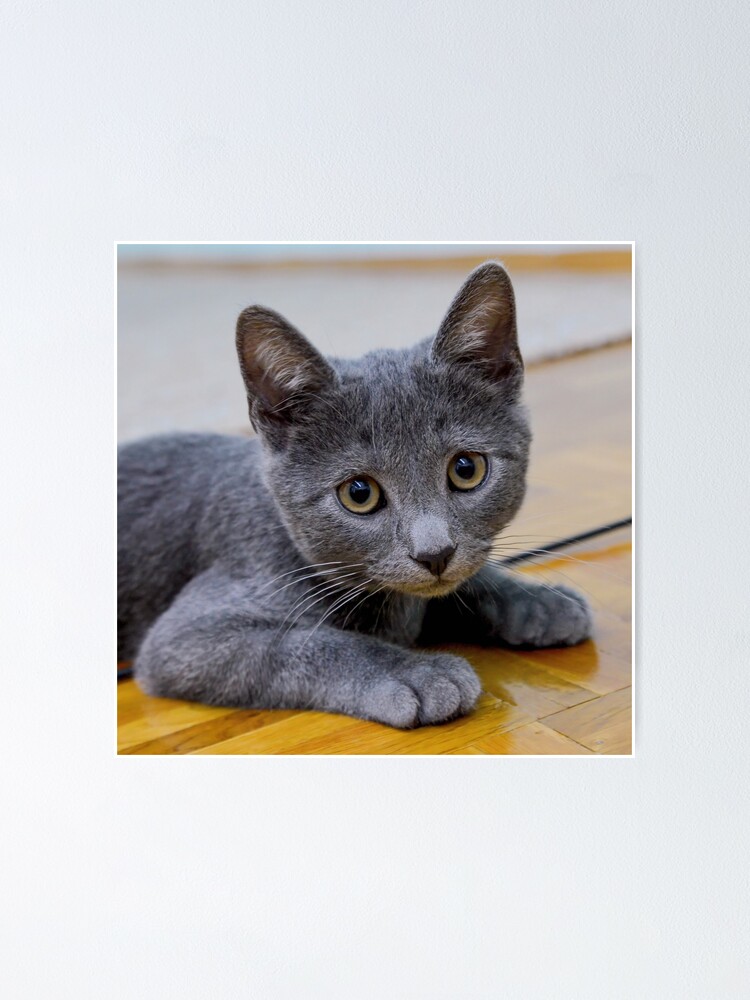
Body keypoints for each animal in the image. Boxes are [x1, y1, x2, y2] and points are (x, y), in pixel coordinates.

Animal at [117, 260, 592, 728]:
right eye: (358, 494)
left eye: (466, 469)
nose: (435, 553)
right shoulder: (186, 638)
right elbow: (304, 642)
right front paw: (418, 673)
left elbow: (467, 582)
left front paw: (538, 601)